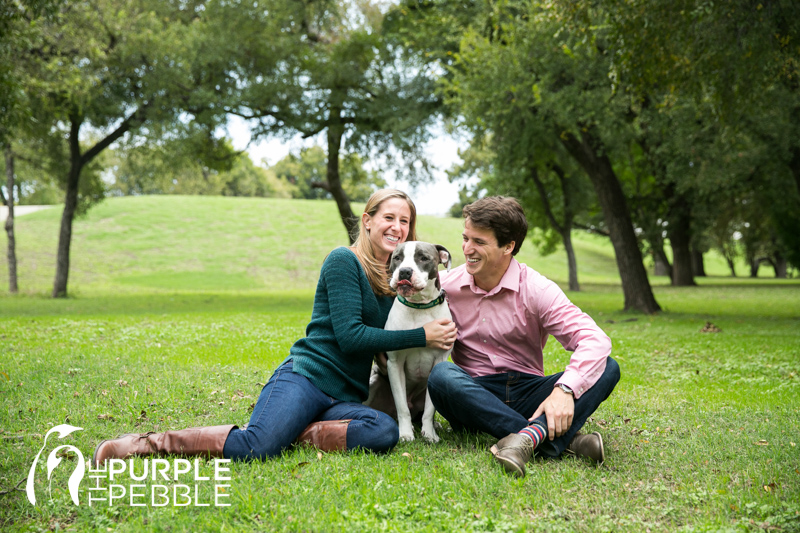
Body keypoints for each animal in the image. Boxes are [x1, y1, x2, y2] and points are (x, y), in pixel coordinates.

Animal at [362, 241, 450, 440]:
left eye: (423, 258)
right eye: (397, 258)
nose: (404, 271)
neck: (420, 307)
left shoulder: (439, 361)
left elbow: (429, 409)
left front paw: (429, 435)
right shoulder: (395, 364)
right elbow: (402, 406)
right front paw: (405, 434)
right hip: (374, 381)